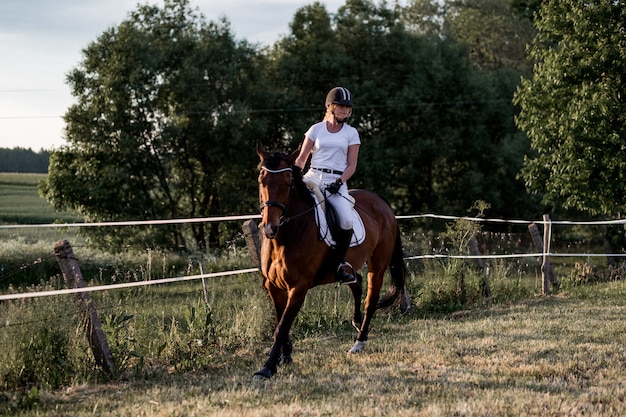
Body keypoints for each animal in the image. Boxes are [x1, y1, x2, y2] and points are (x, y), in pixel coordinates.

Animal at [254, 141, 410, 378]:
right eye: (261, 180)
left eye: (288, 183)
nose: (269, 228)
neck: (287, 236)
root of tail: (381, 201)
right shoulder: (274, 287)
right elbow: (281, 324)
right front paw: (285, 357)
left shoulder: (299, 288)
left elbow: (282, 326)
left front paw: (267, 367)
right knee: (356, 282)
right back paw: (356, 322)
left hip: (378, 265)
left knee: (370, 299)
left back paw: (359, 342)